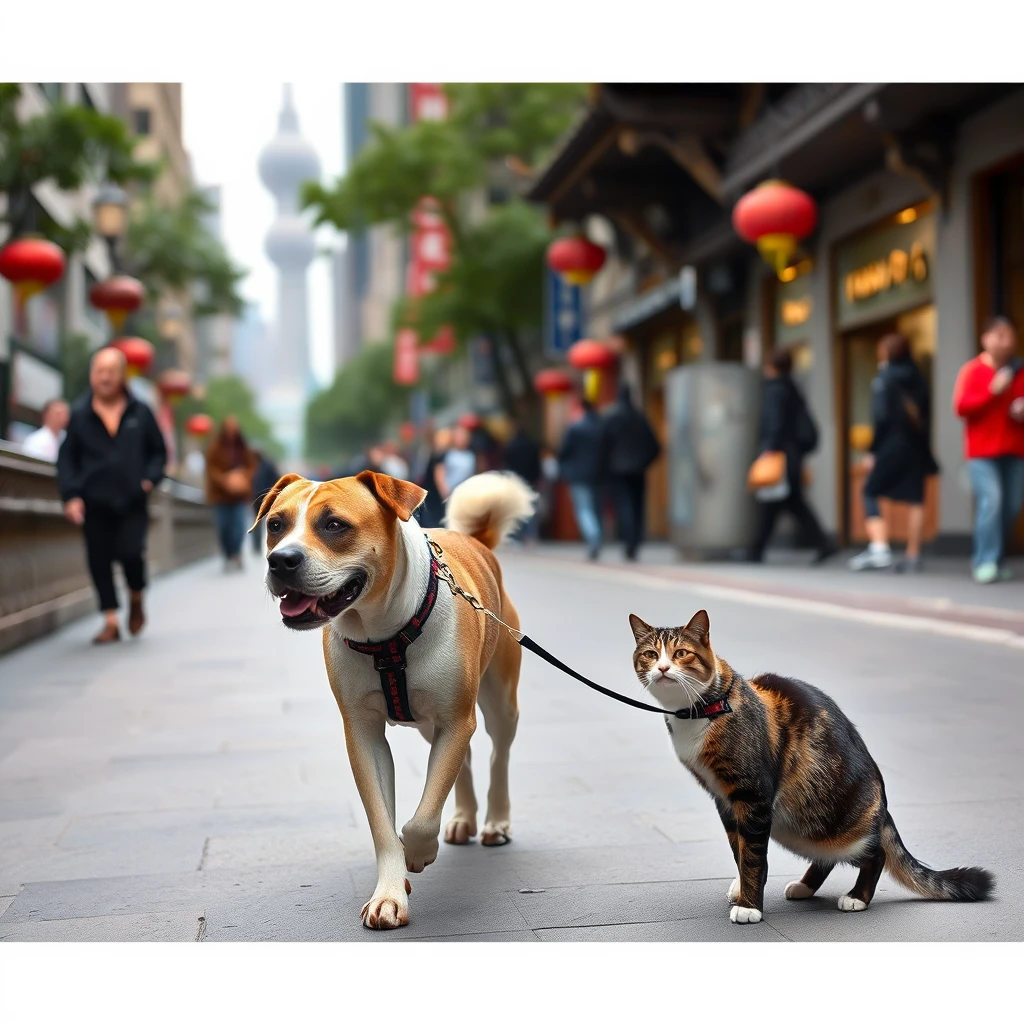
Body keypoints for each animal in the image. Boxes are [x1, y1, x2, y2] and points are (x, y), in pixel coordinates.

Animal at [252, 468, 536, 929]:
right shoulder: (363, 733)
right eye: (276, 525)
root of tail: (475, 541)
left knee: (498, 754)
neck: (385, 635)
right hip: (430, 725)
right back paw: (463, 818)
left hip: (498, 701)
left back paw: (495, 821)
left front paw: (417, 852)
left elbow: (422, 818)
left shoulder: (455, 717)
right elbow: (383, 823)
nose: (281, 560)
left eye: (334, 524)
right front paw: (390, 891)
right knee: (464, 758)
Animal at [626, 602, 995, 925]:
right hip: (797, 826)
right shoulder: (725, 800)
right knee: (825, 857)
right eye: (650, 654)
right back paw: (805, 886)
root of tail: (882, 807)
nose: (662, 669)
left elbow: (753, 855)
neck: (701, 709)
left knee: (875, 853)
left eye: (681, 654)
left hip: (827, 823)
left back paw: (857, 897)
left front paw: (750, 906)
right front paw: (743, 888)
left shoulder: (754, 796)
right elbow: (739, 850)